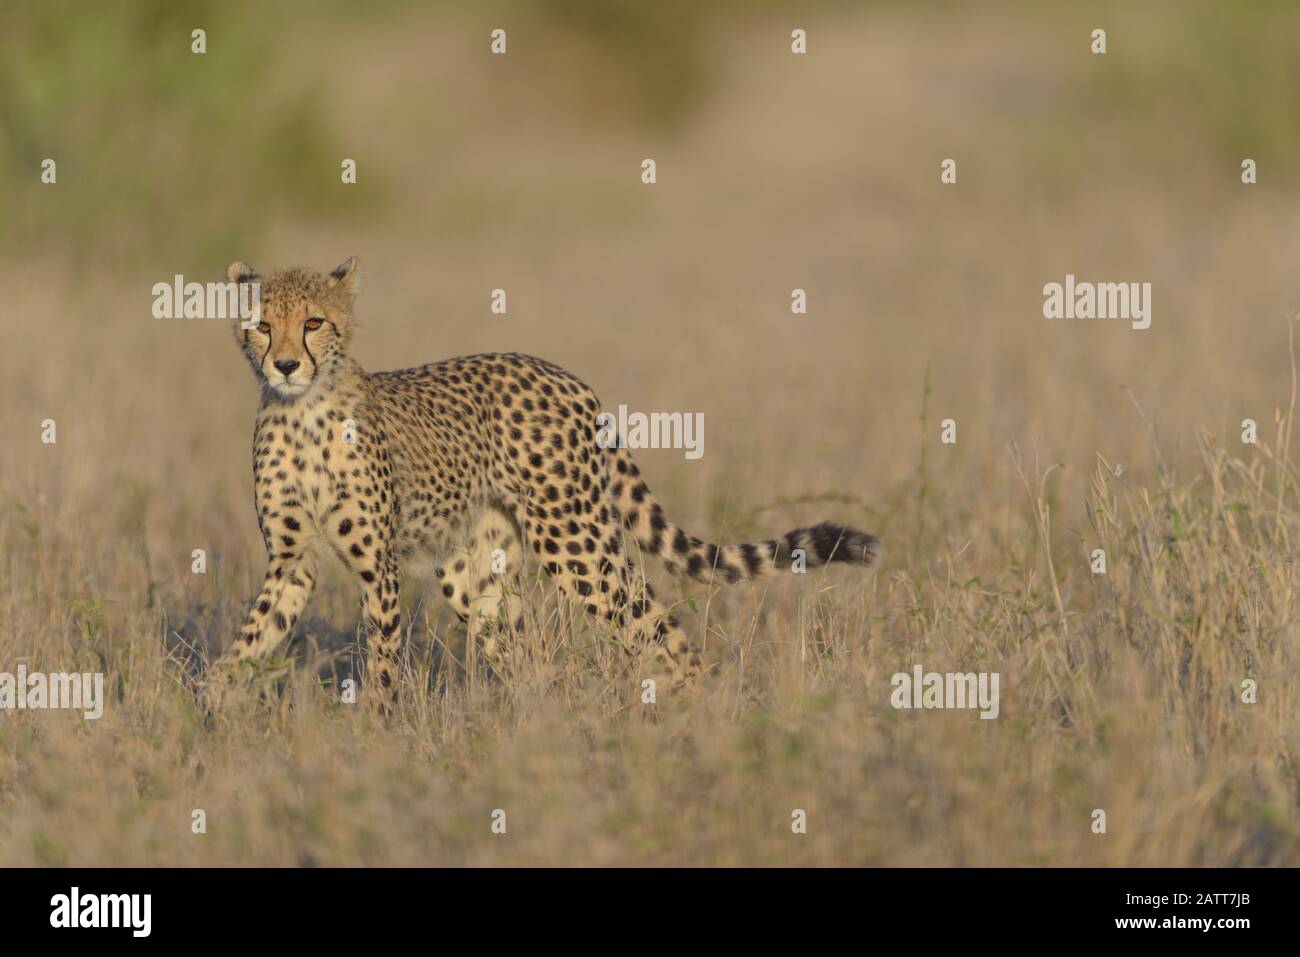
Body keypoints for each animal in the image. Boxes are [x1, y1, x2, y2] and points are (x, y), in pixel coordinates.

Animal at [218, 257, 878, 707]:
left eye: (312, 322)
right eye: (261, 325)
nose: (285, 364)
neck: (301, 412)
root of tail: (564, 375)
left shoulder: (375, 565)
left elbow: (379, 662)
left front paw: (378, 735)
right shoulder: (293, 560)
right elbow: (250, 639)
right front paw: (212, 705)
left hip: (576, 539)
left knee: (658, 631)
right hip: (475, 568)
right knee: (529, 652)